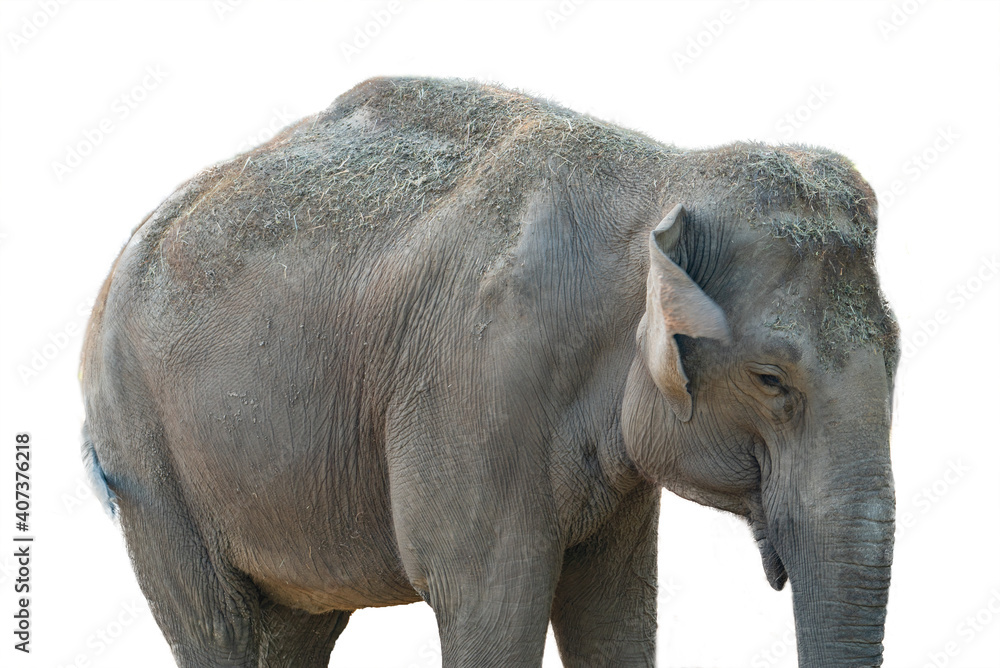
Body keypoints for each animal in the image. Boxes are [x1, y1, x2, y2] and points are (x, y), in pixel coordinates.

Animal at [80, 76, 899, 667]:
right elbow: (493, 610)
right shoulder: (475, 389)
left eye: (896, 354)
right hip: (145, 457)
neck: (663, 173)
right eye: (770, 379)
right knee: (214, 625)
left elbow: (613, 612)